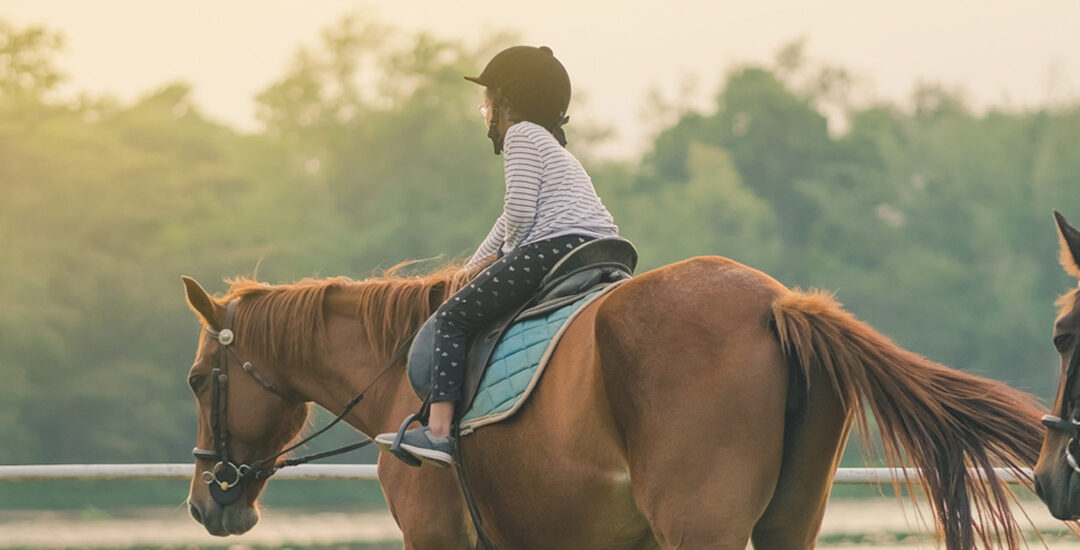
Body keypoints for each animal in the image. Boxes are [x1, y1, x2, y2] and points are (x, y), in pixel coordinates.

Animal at [185, 255, 1045, 546]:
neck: (405, 374)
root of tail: (776, 303)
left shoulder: (435, 538)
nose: (204, 502)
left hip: (703, 532)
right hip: (788, 524)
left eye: (196, 381)